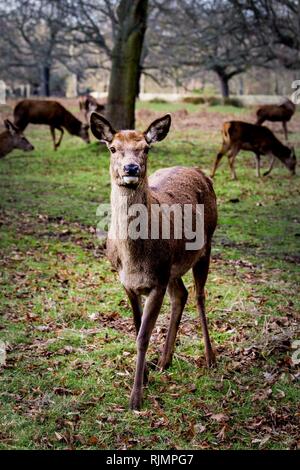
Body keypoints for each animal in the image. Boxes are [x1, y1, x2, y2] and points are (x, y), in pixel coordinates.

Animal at [90, 112, 217, 410]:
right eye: (112, 148)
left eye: (146, 148)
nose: (131, 168)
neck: (134, 260)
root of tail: (201, 174)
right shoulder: (127, 283)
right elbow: (136, 329)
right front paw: (146, 376)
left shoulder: (157, 282)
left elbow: (143, 337)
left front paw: (136, 398)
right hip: (173, 268)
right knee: (181, 294)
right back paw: (164, 361)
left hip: (205, 247)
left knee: (199, 297)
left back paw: (210, 359)